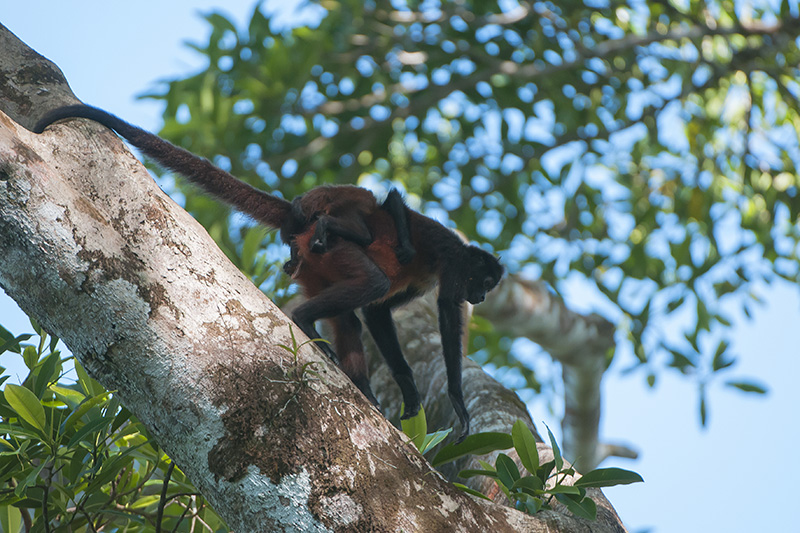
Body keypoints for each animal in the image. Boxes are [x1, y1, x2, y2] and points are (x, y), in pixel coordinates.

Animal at [34, 104, 504, 440]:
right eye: (483, 283)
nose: (481, 297)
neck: (461, 255)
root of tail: (306, 228)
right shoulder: (451, 258)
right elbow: (436, 310)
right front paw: (457, 403)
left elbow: (377, 312)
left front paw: (408, 392)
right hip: (332, 250)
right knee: (371, 279)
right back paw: (304, 316)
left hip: (317, 265)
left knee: (352, 313)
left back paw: (361, 386)